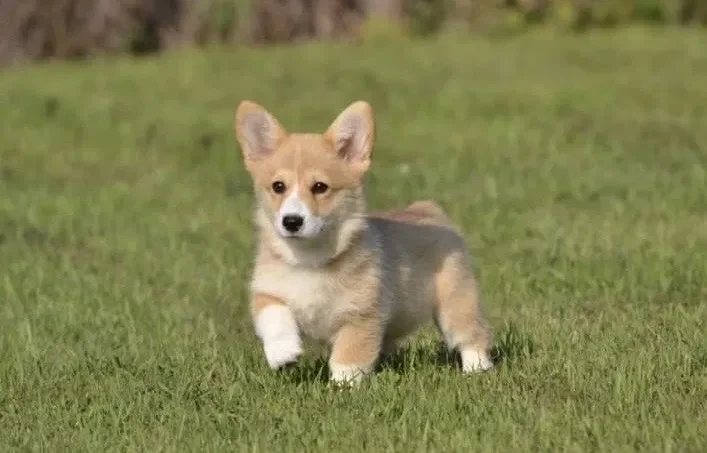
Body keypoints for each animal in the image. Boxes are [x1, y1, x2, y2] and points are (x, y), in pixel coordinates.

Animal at [232, 100, 492, 384]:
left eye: (320, 187)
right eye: (278, 186)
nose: (291, 221)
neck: (310, 259)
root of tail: (428, 208)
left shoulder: (361, 315)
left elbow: (349, 356)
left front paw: (342, 386)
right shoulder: (267, 291)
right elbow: (274, 316)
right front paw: (283, 352)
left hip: (456, 303)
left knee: (471, 336)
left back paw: (476, 369)